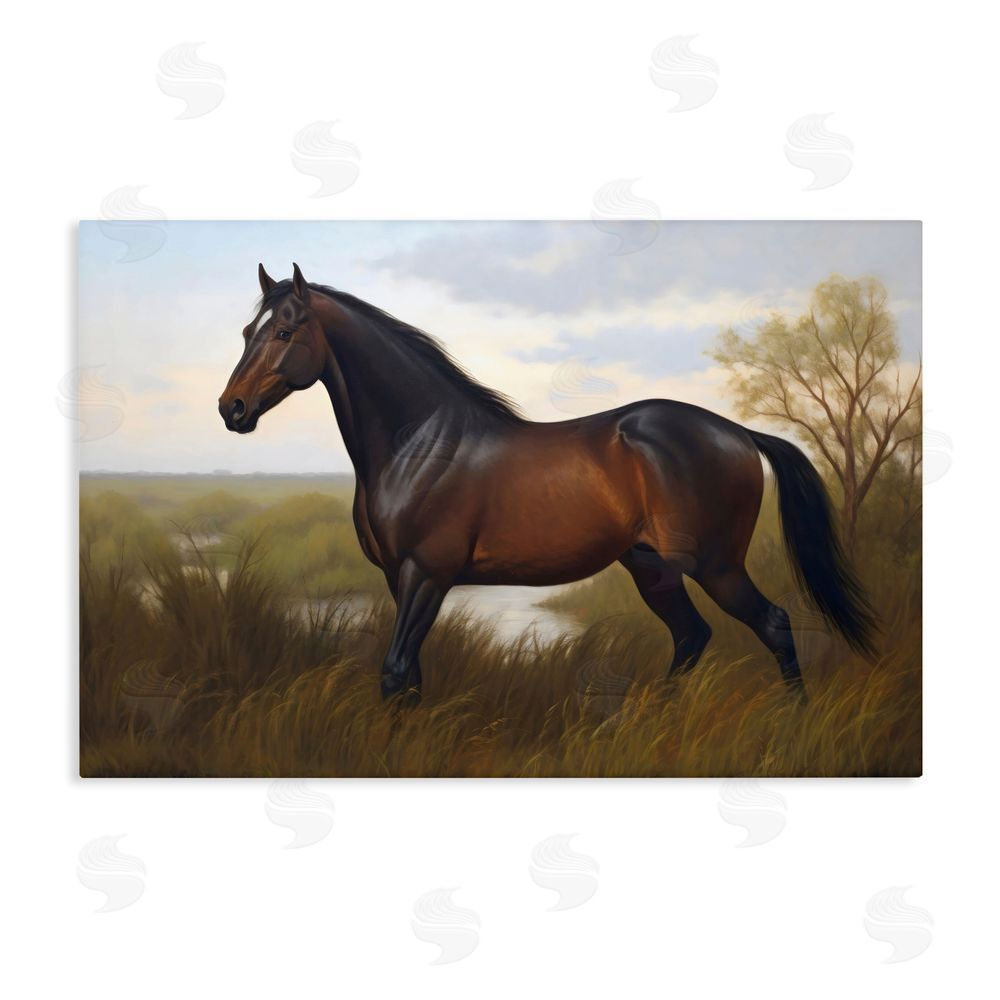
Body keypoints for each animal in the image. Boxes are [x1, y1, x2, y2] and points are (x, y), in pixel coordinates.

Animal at [219, 263, 876, 705]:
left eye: (285, 332)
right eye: (248, 331)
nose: (232, 409)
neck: (420, 444)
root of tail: (737, 431)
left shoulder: (426, 574)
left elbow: (395, 672)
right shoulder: (396, 578)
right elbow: (411, 679)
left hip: (716, 564)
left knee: (773, 626)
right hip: (652, 567)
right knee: (693, 637)